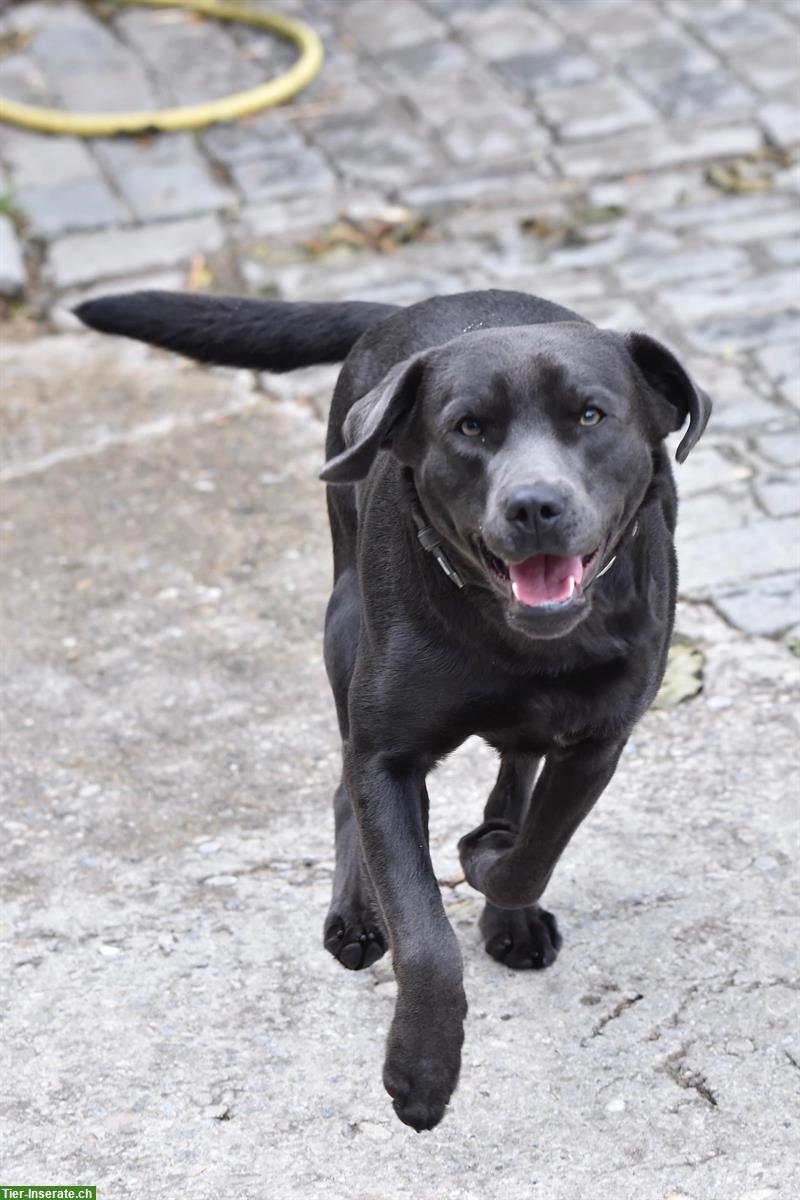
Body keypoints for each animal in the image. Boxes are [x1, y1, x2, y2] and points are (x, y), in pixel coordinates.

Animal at [77, 290, 710, 1132]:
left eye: (590, 414)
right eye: (468, 427)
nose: (534, 505)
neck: (513, 640)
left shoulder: (598, 741)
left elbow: (533, 852)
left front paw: (491, 867)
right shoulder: (388, 755)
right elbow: (423, 932)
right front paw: (422, 1069)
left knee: (516, 767)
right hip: (344, 625)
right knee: (344, 786)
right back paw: (356, 913)